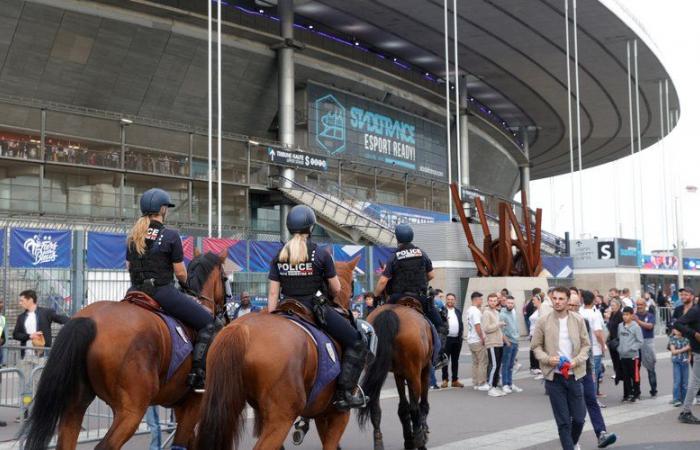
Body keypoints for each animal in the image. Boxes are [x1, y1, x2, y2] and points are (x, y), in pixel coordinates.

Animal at [20, 248, 228, 448]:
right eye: (225, 278)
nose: (226, 313)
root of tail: (91, 320)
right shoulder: (193, 404)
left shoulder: (180, 406)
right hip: (131, 411)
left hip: (76, 405)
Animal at [358, 302, 434, 450]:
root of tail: (389, 312)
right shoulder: (424, 369)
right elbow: (421, 404)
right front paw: (419, 435)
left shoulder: (399, 374)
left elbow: (403, 407)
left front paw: (408, 440)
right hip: (414, 374)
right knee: (415, 408)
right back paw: (420, 441)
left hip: (374, 369)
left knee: (375, 406)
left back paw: (379, 442)